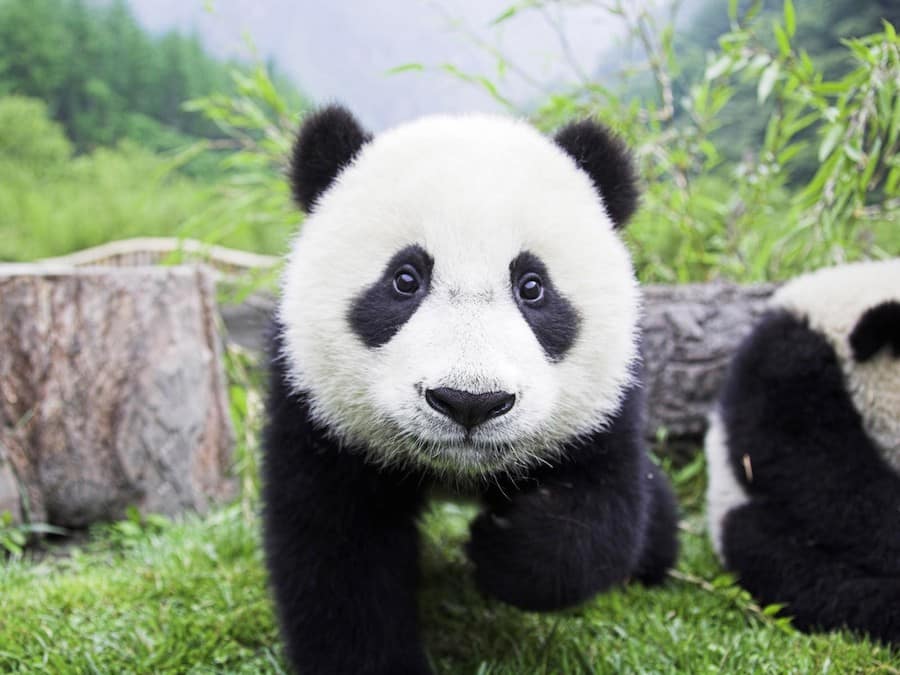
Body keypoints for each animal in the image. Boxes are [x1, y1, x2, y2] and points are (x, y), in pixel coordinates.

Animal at [262, 105, 680, 674]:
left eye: (532, 286)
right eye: (405, 279)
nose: (469, 402)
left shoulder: (607, 404)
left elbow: (600, 512)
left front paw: (502, 547)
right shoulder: (314, 409)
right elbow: (338, 554)